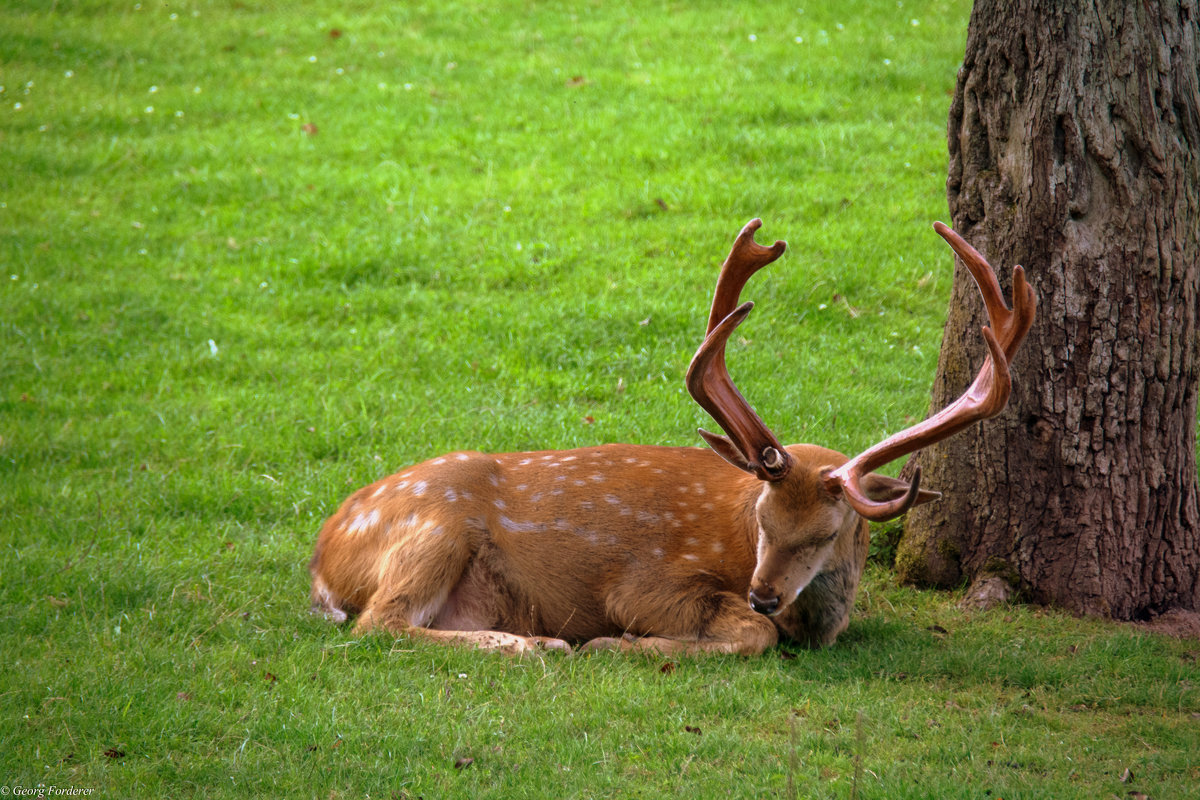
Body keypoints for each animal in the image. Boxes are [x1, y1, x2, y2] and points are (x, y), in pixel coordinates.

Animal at [312, 220, 1041, 657]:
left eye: (827, 532)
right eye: (762, 519)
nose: (764, 592)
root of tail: (323, 558)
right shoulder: (645, 582)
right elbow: (752, 636)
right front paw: (617, 646)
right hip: (433, 526)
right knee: (381, 622)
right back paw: (536, 645)